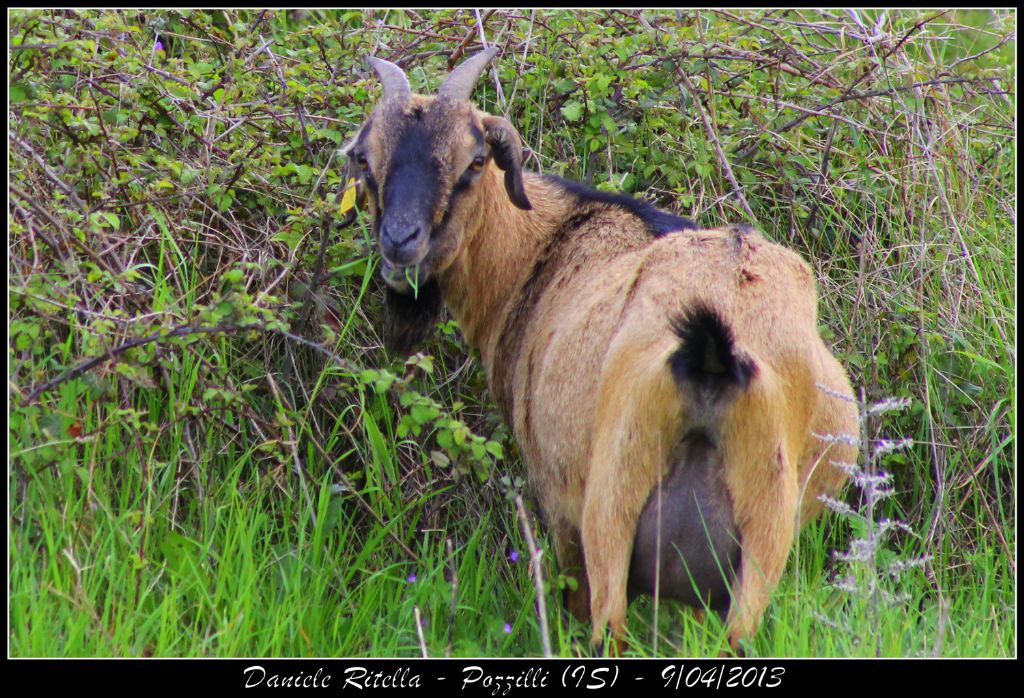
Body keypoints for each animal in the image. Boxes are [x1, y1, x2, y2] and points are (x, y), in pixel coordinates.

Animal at [348, 47, 860, 646]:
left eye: (474, 162)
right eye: (367, 159)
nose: (399, 242)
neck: (546, 246)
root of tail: (713, 352)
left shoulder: (559, 501)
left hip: (613, 502)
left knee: (605, 628)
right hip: (764, 537)